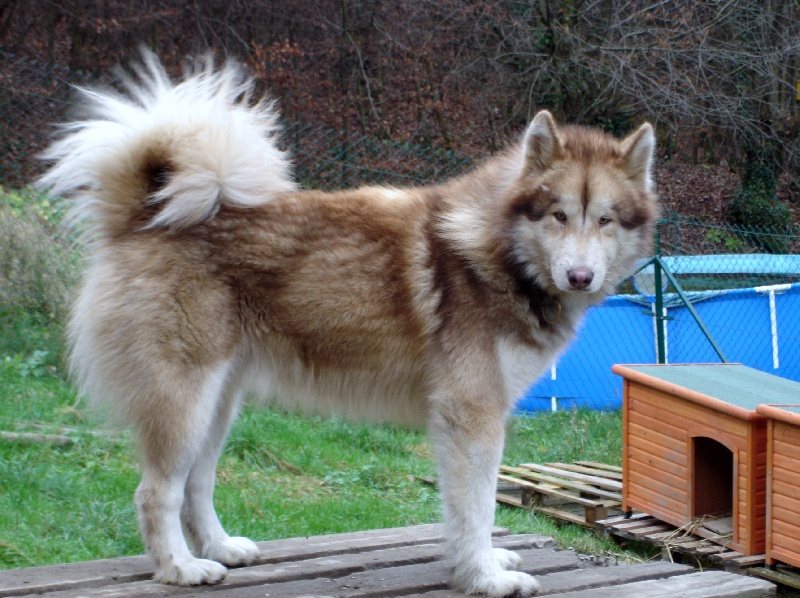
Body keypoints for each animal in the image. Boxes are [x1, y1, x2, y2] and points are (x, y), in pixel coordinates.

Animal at [39, 52, 658, 597]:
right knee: (156, 492)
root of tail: (145, 216)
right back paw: (180, 568)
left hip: (218, 405)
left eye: (605, 220)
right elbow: (477, 508)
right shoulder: (472, 416)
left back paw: (219, 549)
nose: (580, 276)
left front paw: (482, 563)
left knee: (197, 483)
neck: (498, 252)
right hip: (183, 402)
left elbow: (468, 514)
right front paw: (484, 577)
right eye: (558, 215)